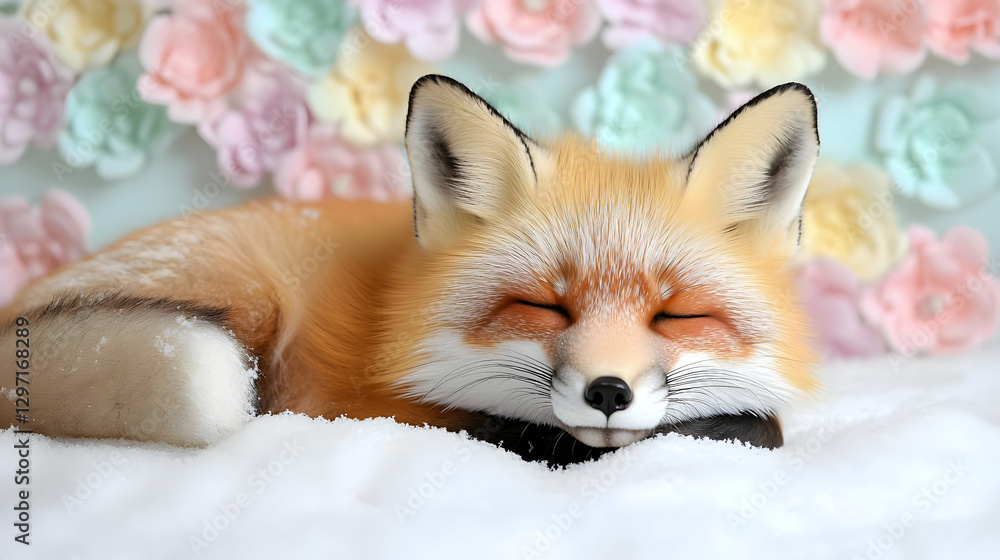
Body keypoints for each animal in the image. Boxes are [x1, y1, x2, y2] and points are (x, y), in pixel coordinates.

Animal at [1, 75, 820, 466]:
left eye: (678, 316)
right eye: (543, 308)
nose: (609, 392)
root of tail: (16, 315)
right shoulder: (365, 402)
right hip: (245, 305)